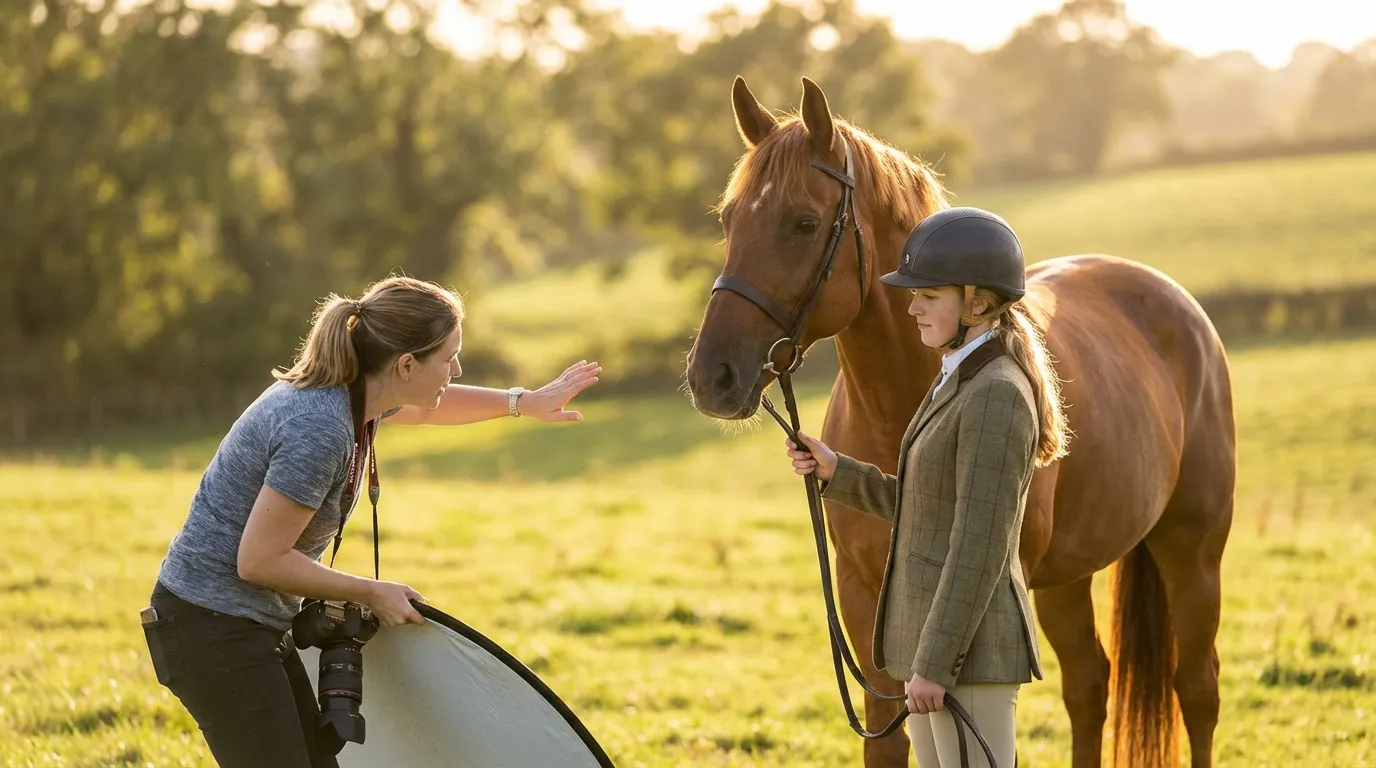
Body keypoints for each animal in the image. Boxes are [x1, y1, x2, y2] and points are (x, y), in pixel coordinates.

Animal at [684, 76, 1237, 768]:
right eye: (729, 219)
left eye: (803, 223)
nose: (712, 376)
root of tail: (1172, 300)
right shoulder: (867, 601)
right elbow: (888, 739)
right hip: (1065, 578)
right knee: (1090, 685)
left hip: (1191, 549)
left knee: (1197, 689)